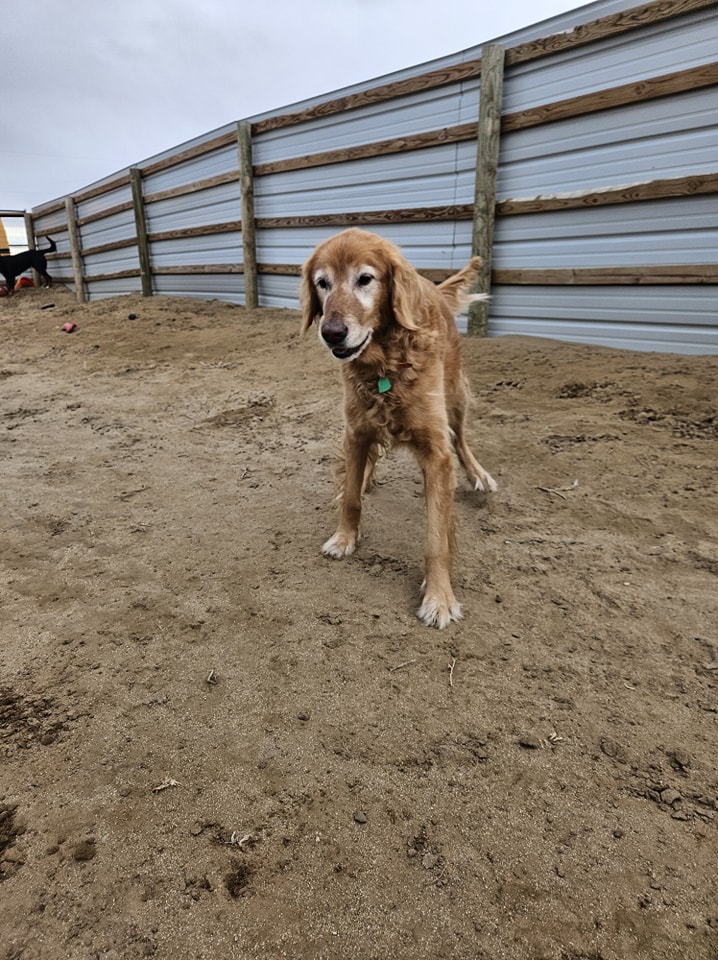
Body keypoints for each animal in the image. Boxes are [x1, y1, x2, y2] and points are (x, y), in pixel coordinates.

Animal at [300, 228, 497, 628]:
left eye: (365, 279)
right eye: (322, 283)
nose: (332, 333)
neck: (384, 364)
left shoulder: (437, 452)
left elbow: (436, 537)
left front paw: (439, 597)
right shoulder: (356, 431)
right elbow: (351, 497)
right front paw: (344, 537)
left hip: (455, 396)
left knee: (462, 438)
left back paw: (479, 474)